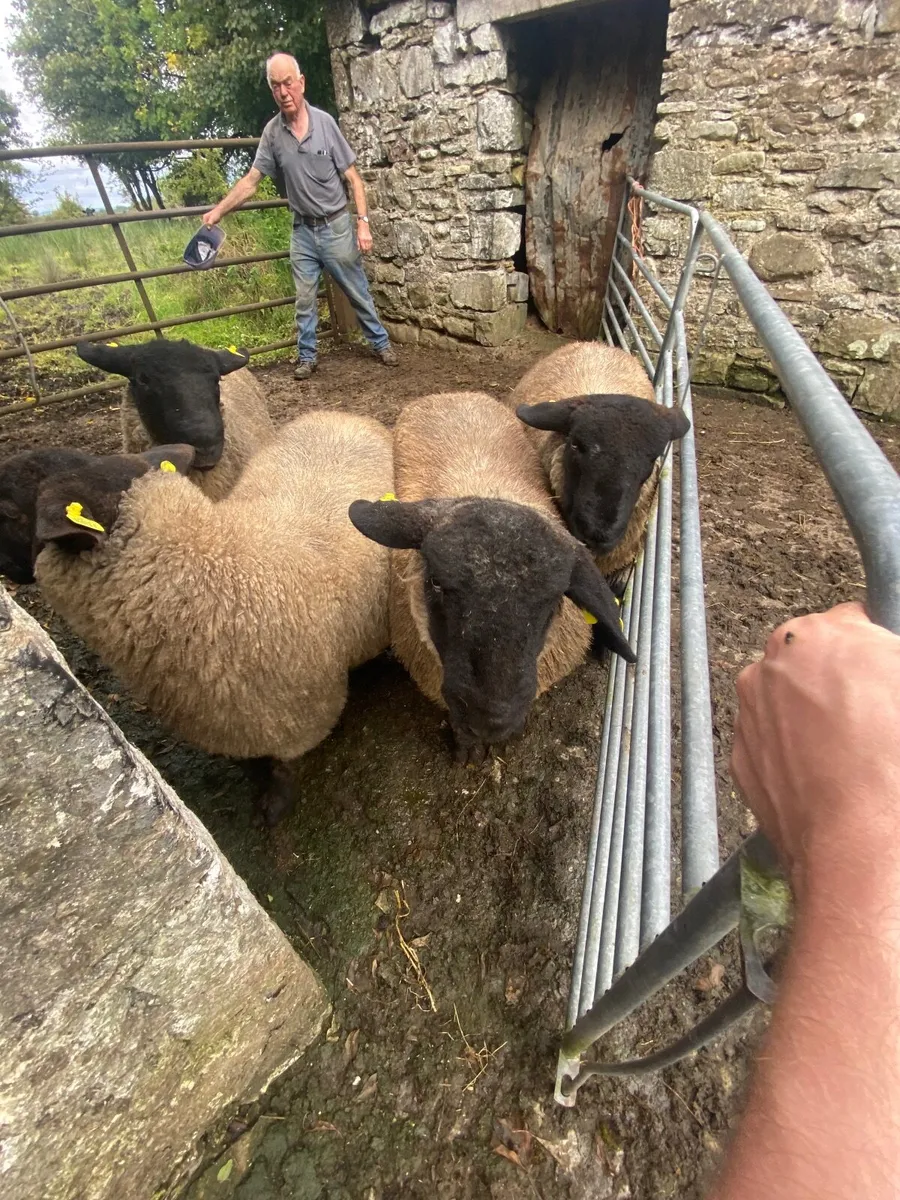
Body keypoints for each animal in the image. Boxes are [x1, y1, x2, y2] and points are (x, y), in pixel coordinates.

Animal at [348, 391, 635, 764]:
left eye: (554, 601)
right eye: (435, 582)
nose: (491, 719)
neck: (487, 487)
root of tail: (452, 393)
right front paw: (468, 748)